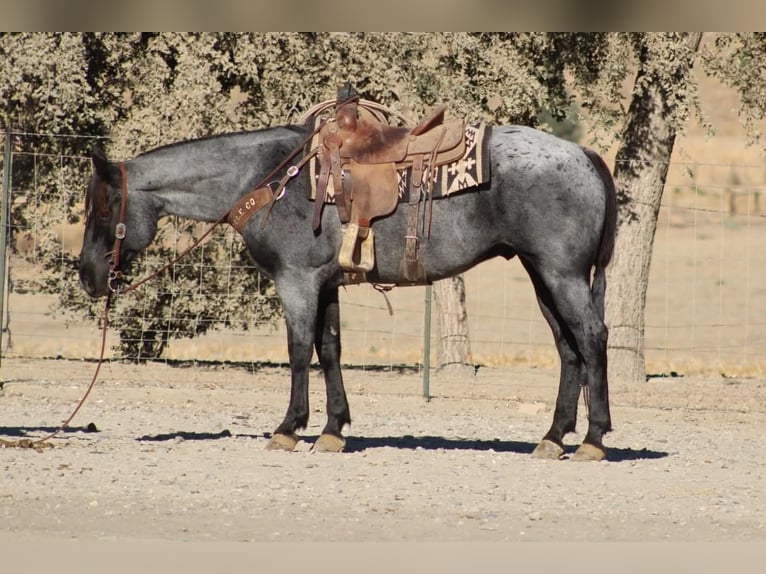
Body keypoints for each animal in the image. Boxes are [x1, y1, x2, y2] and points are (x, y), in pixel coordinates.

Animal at [78, 119, 617, 461]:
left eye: (102, 207)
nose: (88, 275)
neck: (268, 179)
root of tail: (584, 155)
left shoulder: (296, 280)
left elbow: (299, 351)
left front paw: (288, 428)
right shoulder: (326, 284)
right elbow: (330, 349)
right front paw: (333, 429)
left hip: (562, 274)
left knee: (592, 339)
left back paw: (593, 440)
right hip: (543, 275)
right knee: (568, 349)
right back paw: (554, 437)